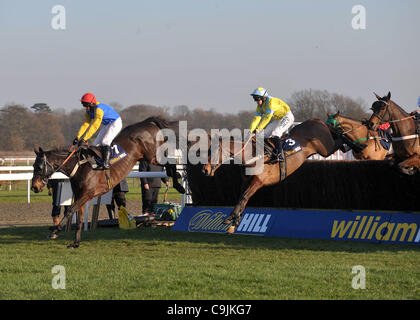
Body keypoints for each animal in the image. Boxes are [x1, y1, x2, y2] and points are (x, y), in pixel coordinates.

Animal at [31, 117, 185, 248]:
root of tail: (148, 122)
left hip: (152, 155)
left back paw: (179, 184)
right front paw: (75, 243)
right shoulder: (80, 196)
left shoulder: (87, 194)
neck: (79, 166)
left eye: (39, 167)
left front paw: (54, 232)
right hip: (149, 156)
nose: (34, 187)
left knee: (169, 161)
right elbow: (79, 218)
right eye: (33, 166)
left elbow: (69, 210)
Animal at [202, 117, 342, 232]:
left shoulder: (258, 181)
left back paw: (347, 136)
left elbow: (244, 197)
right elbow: (242, 198)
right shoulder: (246, 180)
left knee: (339, 142)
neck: (251, 155)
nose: (205, 170)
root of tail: (317, 120)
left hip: (325, 149)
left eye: (212, 152)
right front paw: (234, 222)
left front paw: (230, 218)